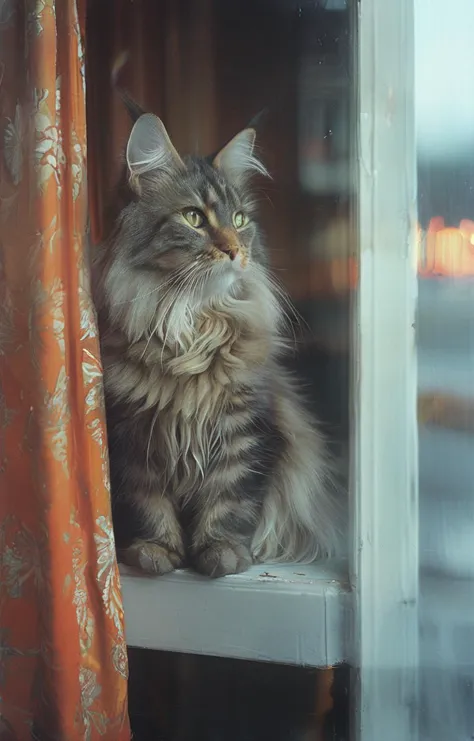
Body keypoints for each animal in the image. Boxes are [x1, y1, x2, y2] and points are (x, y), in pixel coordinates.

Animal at [92, 99, 342, 580]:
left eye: (240, 220)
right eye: (193, 217)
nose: (234, 250)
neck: (190, 323)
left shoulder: (246, 426)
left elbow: (229, 497)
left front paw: (222, 552)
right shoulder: (133, 433)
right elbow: (148, 501)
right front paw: (156, 551)